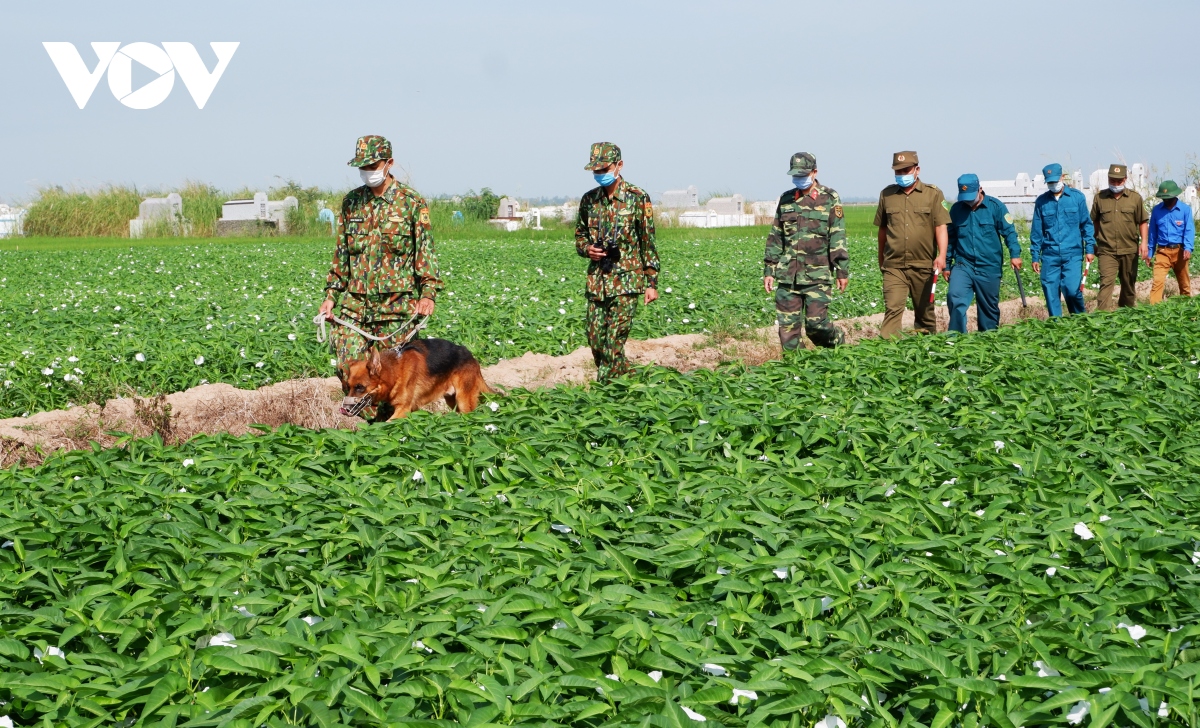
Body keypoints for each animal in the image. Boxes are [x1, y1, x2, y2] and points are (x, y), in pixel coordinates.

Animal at [338, 338, 492, 422]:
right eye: (348, 387)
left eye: (360, 387)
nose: (343, 410)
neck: (395, 372)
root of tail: (471, 357)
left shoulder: (403, 410)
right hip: (451, 399)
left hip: (463, 401)